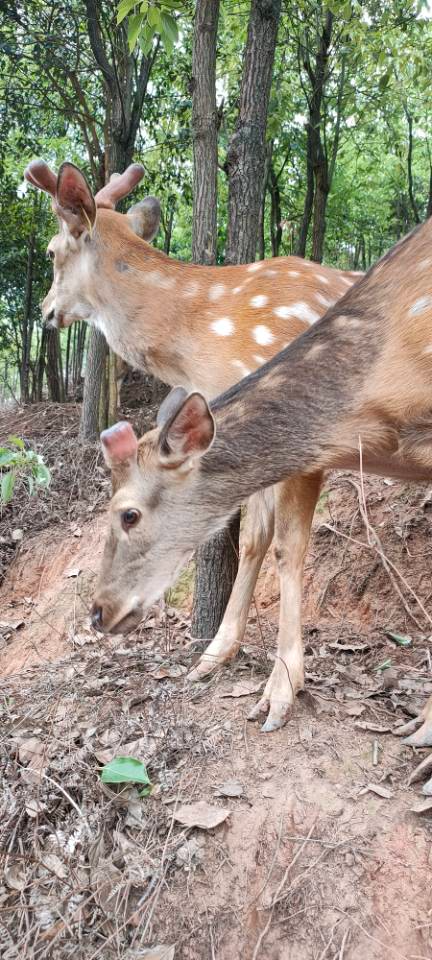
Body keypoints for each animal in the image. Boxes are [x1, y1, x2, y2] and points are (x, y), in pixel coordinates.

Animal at [24, 158, 362, 732]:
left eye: (50, 251)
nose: (45, 312)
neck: (204, 341)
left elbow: (289, 547)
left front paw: (281, 691)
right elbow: (254, 538)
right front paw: (213, 655)